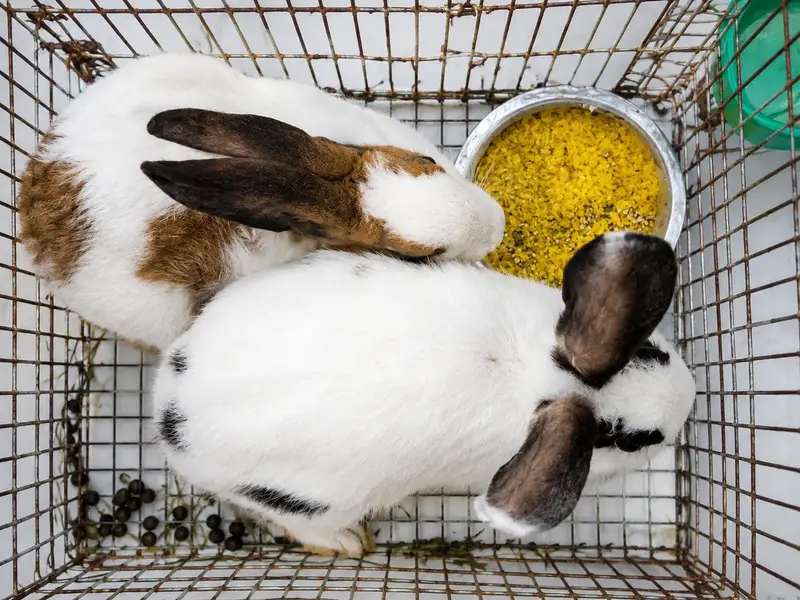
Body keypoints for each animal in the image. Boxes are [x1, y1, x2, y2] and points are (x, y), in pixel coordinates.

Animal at [153, 231, 696, 557]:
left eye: (650, 349)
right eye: (632, 440)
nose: (689, 400)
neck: (534, 375)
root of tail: (168, 410)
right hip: (318, 499)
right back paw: (347, 543)